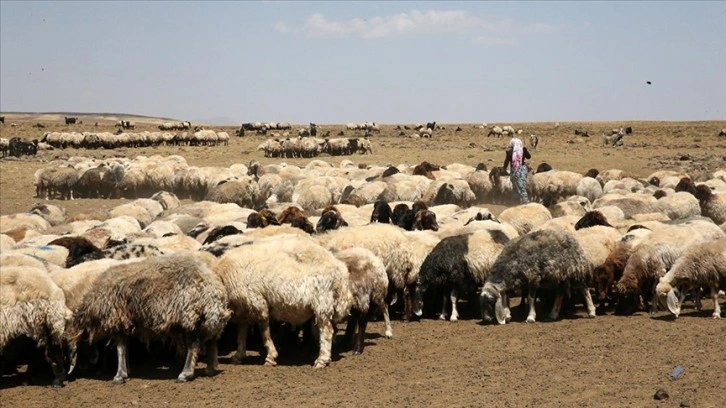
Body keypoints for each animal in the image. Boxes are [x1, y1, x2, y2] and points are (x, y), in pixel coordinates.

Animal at [67, 253, 230, 384]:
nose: (80, 370)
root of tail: (212, 287)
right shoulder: (125, 323)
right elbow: (124, 347)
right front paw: (127, 370)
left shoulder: (117, 320)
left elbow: (120, 348)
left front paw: (119, 375)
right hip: (208, 320)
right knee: (212, 342)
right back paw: (210, 369)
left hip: (190, 316)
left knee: (194, 345)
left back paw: (185, 374)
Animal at [212, 234, 354, 368]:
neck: (224, 278)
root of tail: (340, 269)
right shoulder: (244, 307)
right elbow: (241, 332)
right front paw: (238, 355)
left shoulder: (257, 302)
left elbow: (264, 331)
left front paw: (270, 357)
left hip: (322, 301)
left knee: (327, 331)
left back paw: (322, 360)